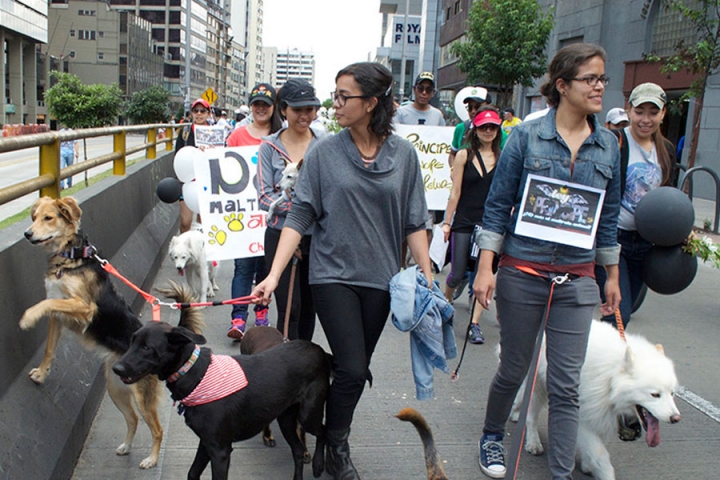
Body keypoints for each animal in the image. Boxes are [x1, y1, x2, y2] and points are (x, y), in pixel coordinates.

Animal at [112, 322, 330, 480]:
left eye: (146, 347)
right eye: (132, 342)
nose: (116, 368)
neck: (195, 373)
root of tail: (317, 348)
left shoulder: (220, 451)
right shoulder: (206, 442)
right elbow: (192, 473)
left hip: (308, 414)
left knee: (323, 430)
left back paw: (319, 464)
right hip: (285, 418)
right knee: (298, 451)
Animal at [512, 318, 680, 480]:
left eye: (672, 393)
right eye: (655, 394)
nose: (676, 418)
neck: (610, 380)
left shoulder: (602, 416)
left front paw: (587, 464)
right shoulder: (584, 419)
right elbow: (601, 457)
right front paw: (604, 473)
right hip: (536, 387)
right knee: (530, 416)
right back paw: (533, 442)